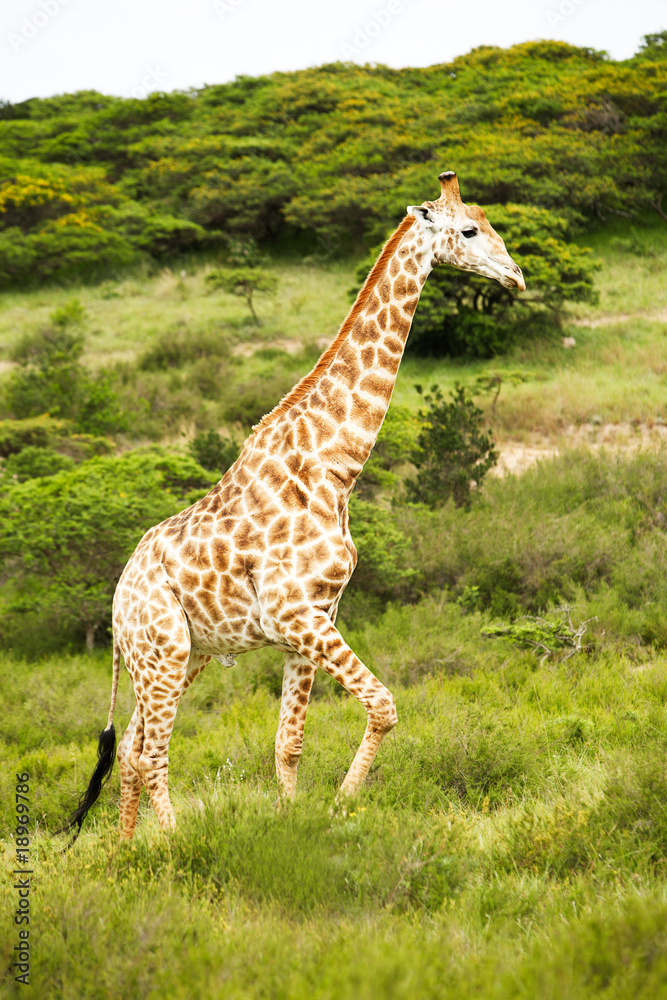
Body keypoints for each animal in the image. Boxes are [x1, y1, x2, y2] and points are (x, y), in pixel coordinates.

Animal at [62, 171, 525, 842]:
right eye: (468, 230)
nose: (515, 276)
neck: (335, 468)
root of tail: (118, 603)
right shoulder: (293, 613)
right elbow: (383, 705)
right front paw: (341, 805)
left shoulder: (308, 621)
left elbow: (289, 744)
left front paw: (294, 822)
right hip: (163, 650)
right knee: (150, 752)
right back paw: (169, 843)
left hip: (184, 654)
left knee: (129, 749)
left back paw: (127, 849)